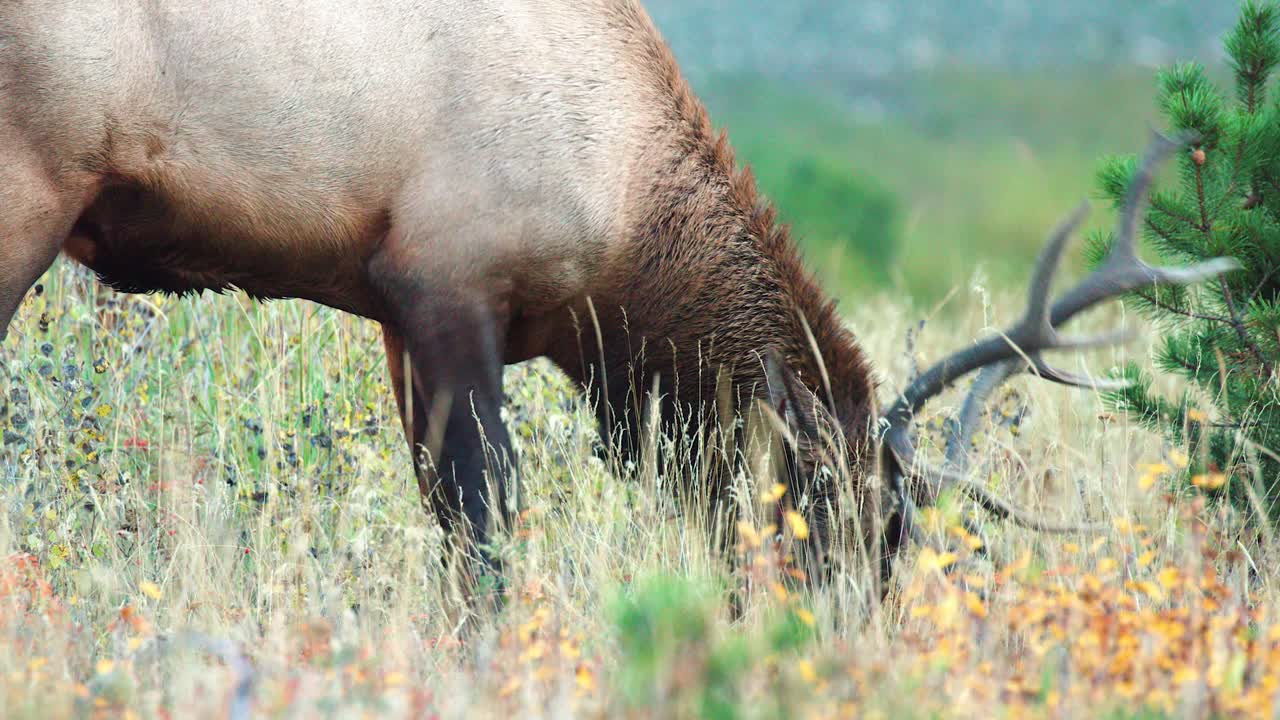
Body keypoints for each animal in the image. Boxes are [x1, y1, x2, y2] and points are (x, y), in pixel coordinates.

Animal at [0, 0, 1235, 588]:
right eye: (836, 523)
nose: (849, 646)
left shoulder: (397, 312)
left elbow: (448, 515)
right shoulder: (447, 282)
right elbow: (485, 523)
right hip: (26, 193)